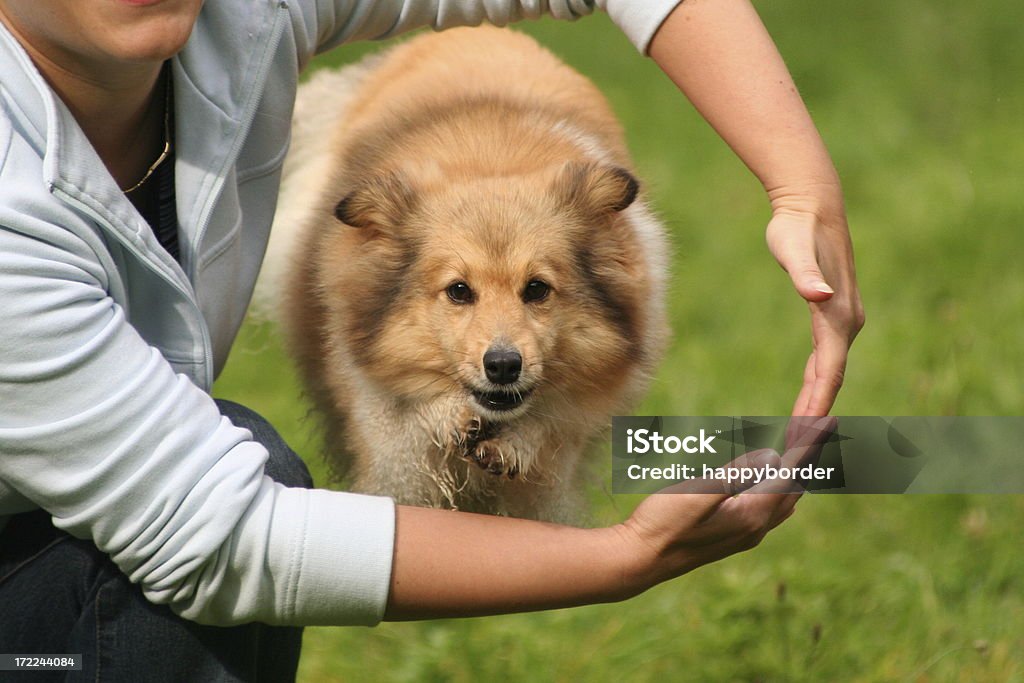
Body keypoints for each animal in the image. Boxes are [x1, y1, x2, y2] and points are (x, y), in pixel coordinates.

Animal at [260, 24, 667, 520]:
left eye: (537, 289)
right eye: (458, 290)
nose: (503, 366)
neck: (491, 161)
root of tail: (475, 29)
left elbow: (553, 425)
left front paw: (517, 444)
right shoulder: (394, 449)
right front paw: (448, 418)